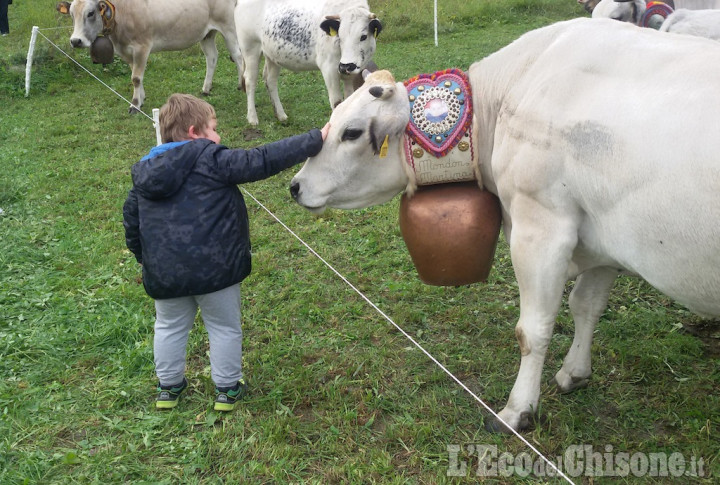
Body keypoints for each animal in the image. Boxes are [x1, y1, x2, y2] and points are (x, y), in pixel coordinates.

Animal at [56, 0, 242, 112]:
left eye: (90, 13)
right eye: (71, 14)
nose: (76, 41)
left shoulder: (142, 47)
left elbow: (136, 78)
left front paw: (134, 105)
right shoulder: (126, 51)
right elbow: (136, 76)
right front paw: (141, 98)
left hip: (229, 27)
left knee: (238, 56)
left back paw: (241, 84)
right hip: (206, 34)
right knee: (212, 57)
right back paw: (206, 88)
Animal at [235, 0, 382, 125]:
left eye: (363, 36)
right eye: (340, 37)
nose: (346, 65)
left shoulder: (351, 73)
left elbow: (349, 100)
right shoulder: (329, 69)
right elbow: (336, 102)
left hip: (272, 55)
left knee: (270, 80)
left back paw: (281, 115)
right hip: (250, 50)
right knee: (250, 80)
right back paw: (252, 118)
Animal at [288, 18, 720, 432]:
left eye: (352, 132)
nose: (295, 186)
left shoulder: (541, 227)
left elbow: (534, 330)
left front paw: (518, 410)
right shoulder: (603, 239)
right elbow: (587, 305)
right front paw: (574, 372)